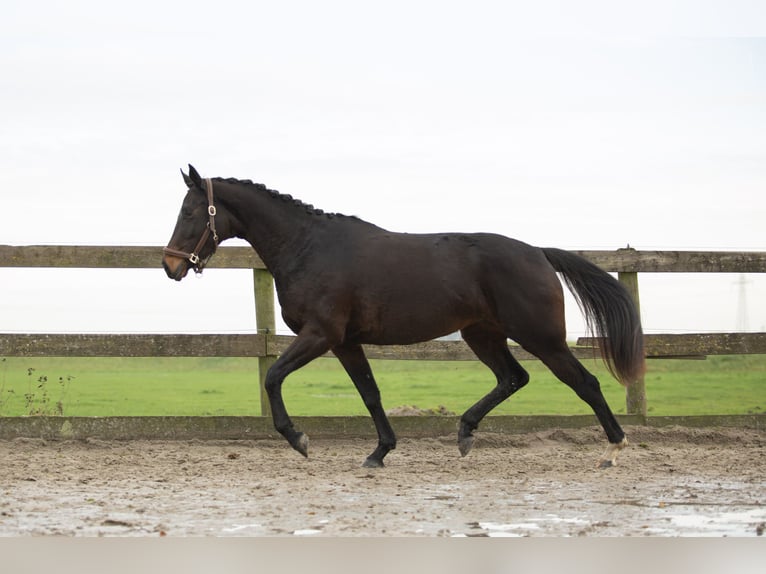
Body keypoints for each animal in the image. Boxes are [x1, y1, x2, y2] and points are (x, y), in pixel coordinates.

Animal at [165, 165, 644, 468]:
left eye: (190, 211)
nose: (171, 265)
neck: (309, 248)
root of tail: (538, 253)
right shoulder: (345, 342)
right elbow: (370, 394)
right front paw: (379, 452)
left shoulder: (321, 335)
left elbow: (272, 376)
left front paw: (299, 440)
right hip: (482, 335)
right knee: (513, 378)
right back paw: (465, 433)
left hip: (540, 337)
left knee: (585, 383)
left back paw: (613, 450)